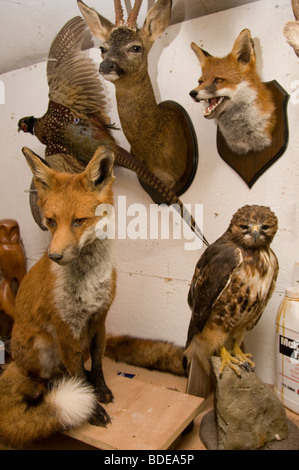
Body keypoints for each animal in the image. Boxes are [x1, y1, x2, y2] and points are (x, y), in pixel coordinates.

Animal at [0, 144, 116, 448]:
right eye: (51, 221)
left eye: (79, 221)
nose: (54, 256)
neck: (87, 281)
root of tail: (13, 362)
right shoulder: (65, 329)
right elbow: (79, 377)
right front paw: (92, 409)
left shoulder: (99, 319)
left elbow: (97, 364)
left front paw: (101, 390)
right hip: (40, 346)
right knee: (46, 378)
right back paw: (55, 386)